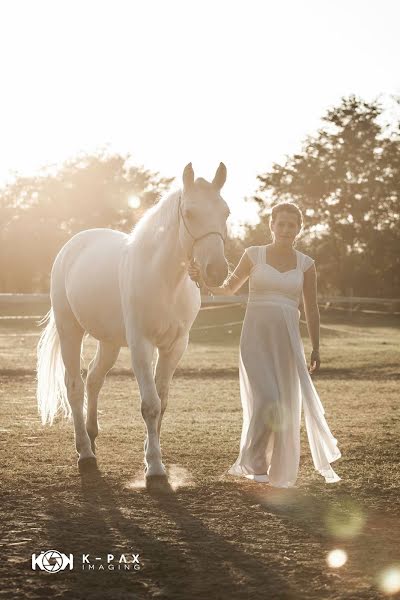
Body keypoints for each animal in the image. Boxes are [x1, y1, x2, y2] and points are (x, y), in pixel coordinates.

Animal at [38, 163, 231, 482]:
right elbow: (150, 405)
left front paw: (151, 455)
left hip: (109, 342)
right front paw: (154, 468)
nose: (217, 271)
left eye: (225, 212)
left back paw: (92, 436)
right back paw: (85, 453)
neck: (164, 279)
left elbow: (162, 403)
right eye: (190, 213)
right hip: (70, 331)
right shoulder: (142, 344)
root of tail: (72, 246)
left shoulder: (174, 346)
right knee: (75, 386)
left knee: (94, 379)